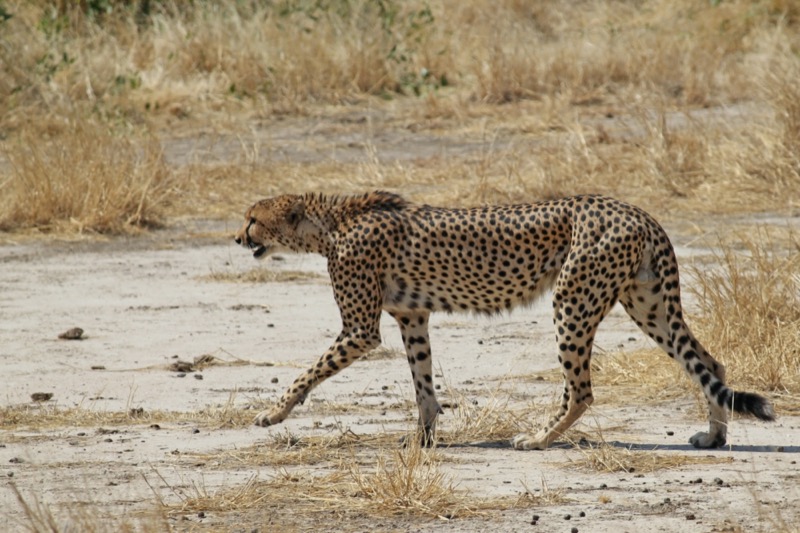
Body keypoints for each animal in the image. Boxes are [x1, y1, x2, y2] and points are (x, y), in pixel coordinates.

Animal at [236, 192, 776, 448]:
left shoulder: (360, 330)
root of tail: (636, 211)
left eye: (253, 219)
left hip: (572, 301)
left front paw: (272, 413)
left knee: (581, 390)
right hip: (649, 305)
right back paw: (715, 436)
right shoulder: (412, 315)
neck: (330, 224)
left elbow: (309, 372)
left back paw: (538, 438)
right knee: (710, 364)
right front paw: (424, 439)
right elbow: (423, 383)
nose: (237, 238)